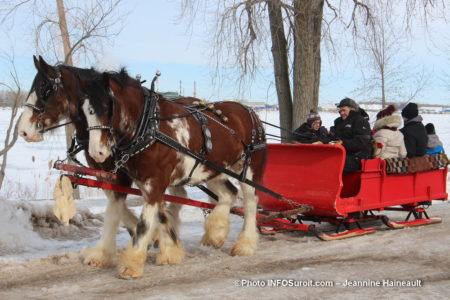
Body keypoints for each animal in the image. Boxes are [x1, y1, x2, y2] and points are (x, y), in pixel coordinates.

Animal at [80, 69, 268, 278]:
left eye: (106, 107)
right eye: (84, 109)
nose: (96, 153)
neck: (149, 128)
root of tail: (250, 111)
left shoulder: (155, 182)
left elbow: (145, 223)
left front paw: (133, 264)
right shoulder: (139, 182)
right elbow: (144, 215)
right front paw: (169, 252)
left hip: (249, 170)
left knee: (250, 202)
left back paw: (245, 244)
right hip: (213, 170)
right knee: (229, 193)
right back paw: (215, 233)